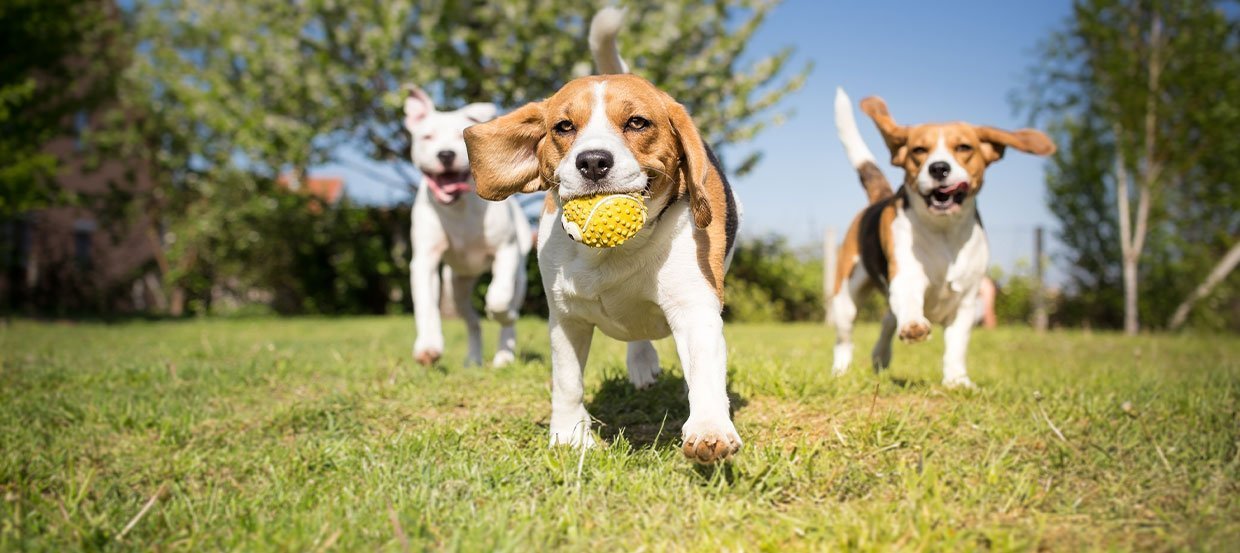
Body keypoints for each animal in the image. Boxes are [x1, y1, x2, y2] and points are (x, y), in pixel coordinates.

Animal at [401, 85, 528, 367]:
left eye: (460, 137)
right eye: (427, 137)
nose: (446, 154)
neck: (458, 207)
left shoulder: (506, 251)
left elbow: (498, 298)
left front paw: (502, 313)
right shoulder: (424, 260)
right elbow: (426, 305)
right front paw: (428, 347)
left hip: (519, 275)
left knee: (508, 309)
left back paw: (504, 355)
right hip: (456, 286)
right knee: (472, 321)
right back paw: (473, 359)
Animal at [461, 10, 739, 463]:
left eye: (637, 122)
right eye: (563, 127)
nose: (592, 161)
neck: (614, 253)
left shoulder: (694, 307)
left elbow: (704, 372)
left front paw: (709, 428)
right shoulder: (565, 317)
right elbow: (567, 382)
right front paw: (569, 436)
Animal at [828, 88, 1051, 386]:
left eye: (964, 147)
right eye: (918, 150)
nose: (938, 168)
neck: (944, 232)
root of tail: (879, 198)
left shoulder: (967, 300)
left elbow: (957, 345)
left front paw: (957, 381)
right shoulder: (907, 277)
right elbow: (910, 304)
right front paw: (914, 326)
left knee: (888, 321)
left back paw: (881, 357)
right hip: (845, 297)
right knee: (845, 339)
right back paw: (840, 370)